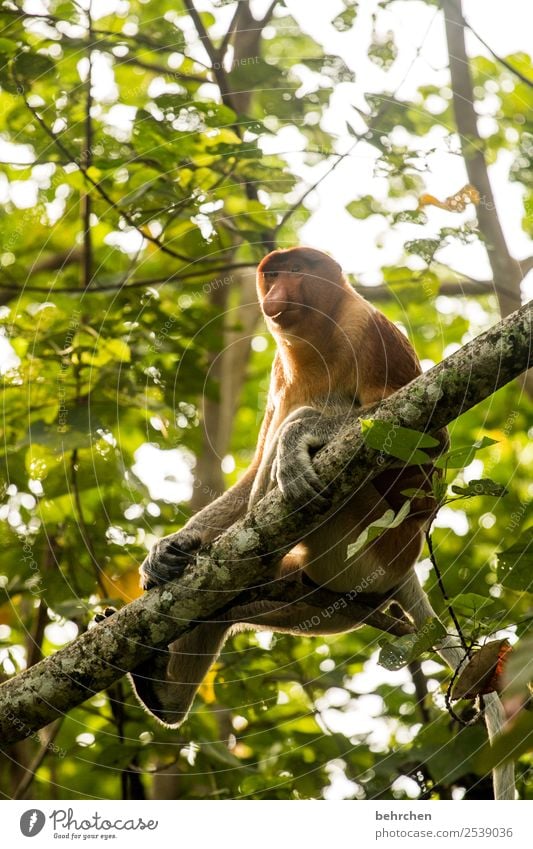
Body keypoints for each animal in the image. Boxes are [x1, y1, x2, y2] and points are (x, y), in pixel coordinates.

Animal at [131, 247, 512, 800]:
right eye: (271, 274)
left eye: (294, 271)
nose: (272, 294)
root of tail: (406, 565)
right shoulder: (279, 371)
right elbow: (255, 464)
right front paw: (166, 551)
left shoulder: (371, 332)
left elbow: (428, 440)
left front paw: (300, 435)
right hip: (328, 597)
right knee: (227, 606)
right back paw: (164, 688)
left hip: (363, 545)